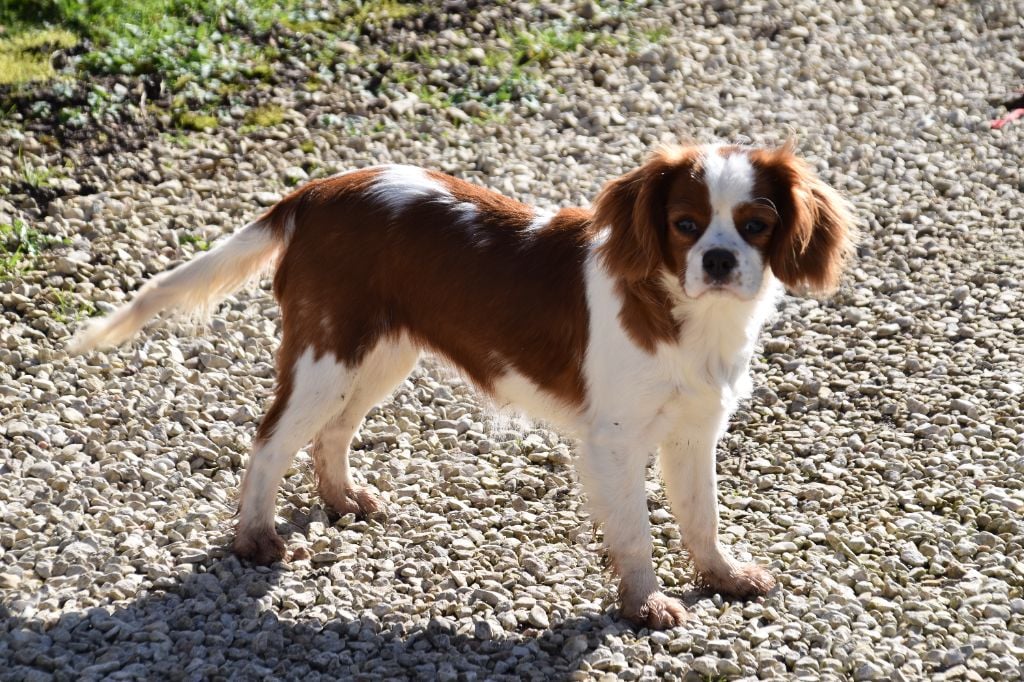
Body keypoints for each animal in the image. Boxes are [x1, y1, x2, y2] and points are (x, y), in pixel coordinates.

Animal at [70, 142, 854, 629]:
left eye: (756, 225)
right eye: (685, 224)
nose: (719, 260)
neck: (689, 316)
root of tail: (317, 192)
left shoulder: (693, 430)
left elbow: (701, 516)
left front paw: (722, 576)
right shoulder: (615, 441)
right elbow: (634, 532)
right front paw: (646, 606)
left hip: (379, 356)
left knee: (331, 434)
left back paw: (342, 499)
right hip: (328, 355)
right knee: (269, 442)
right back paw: (256, 538)